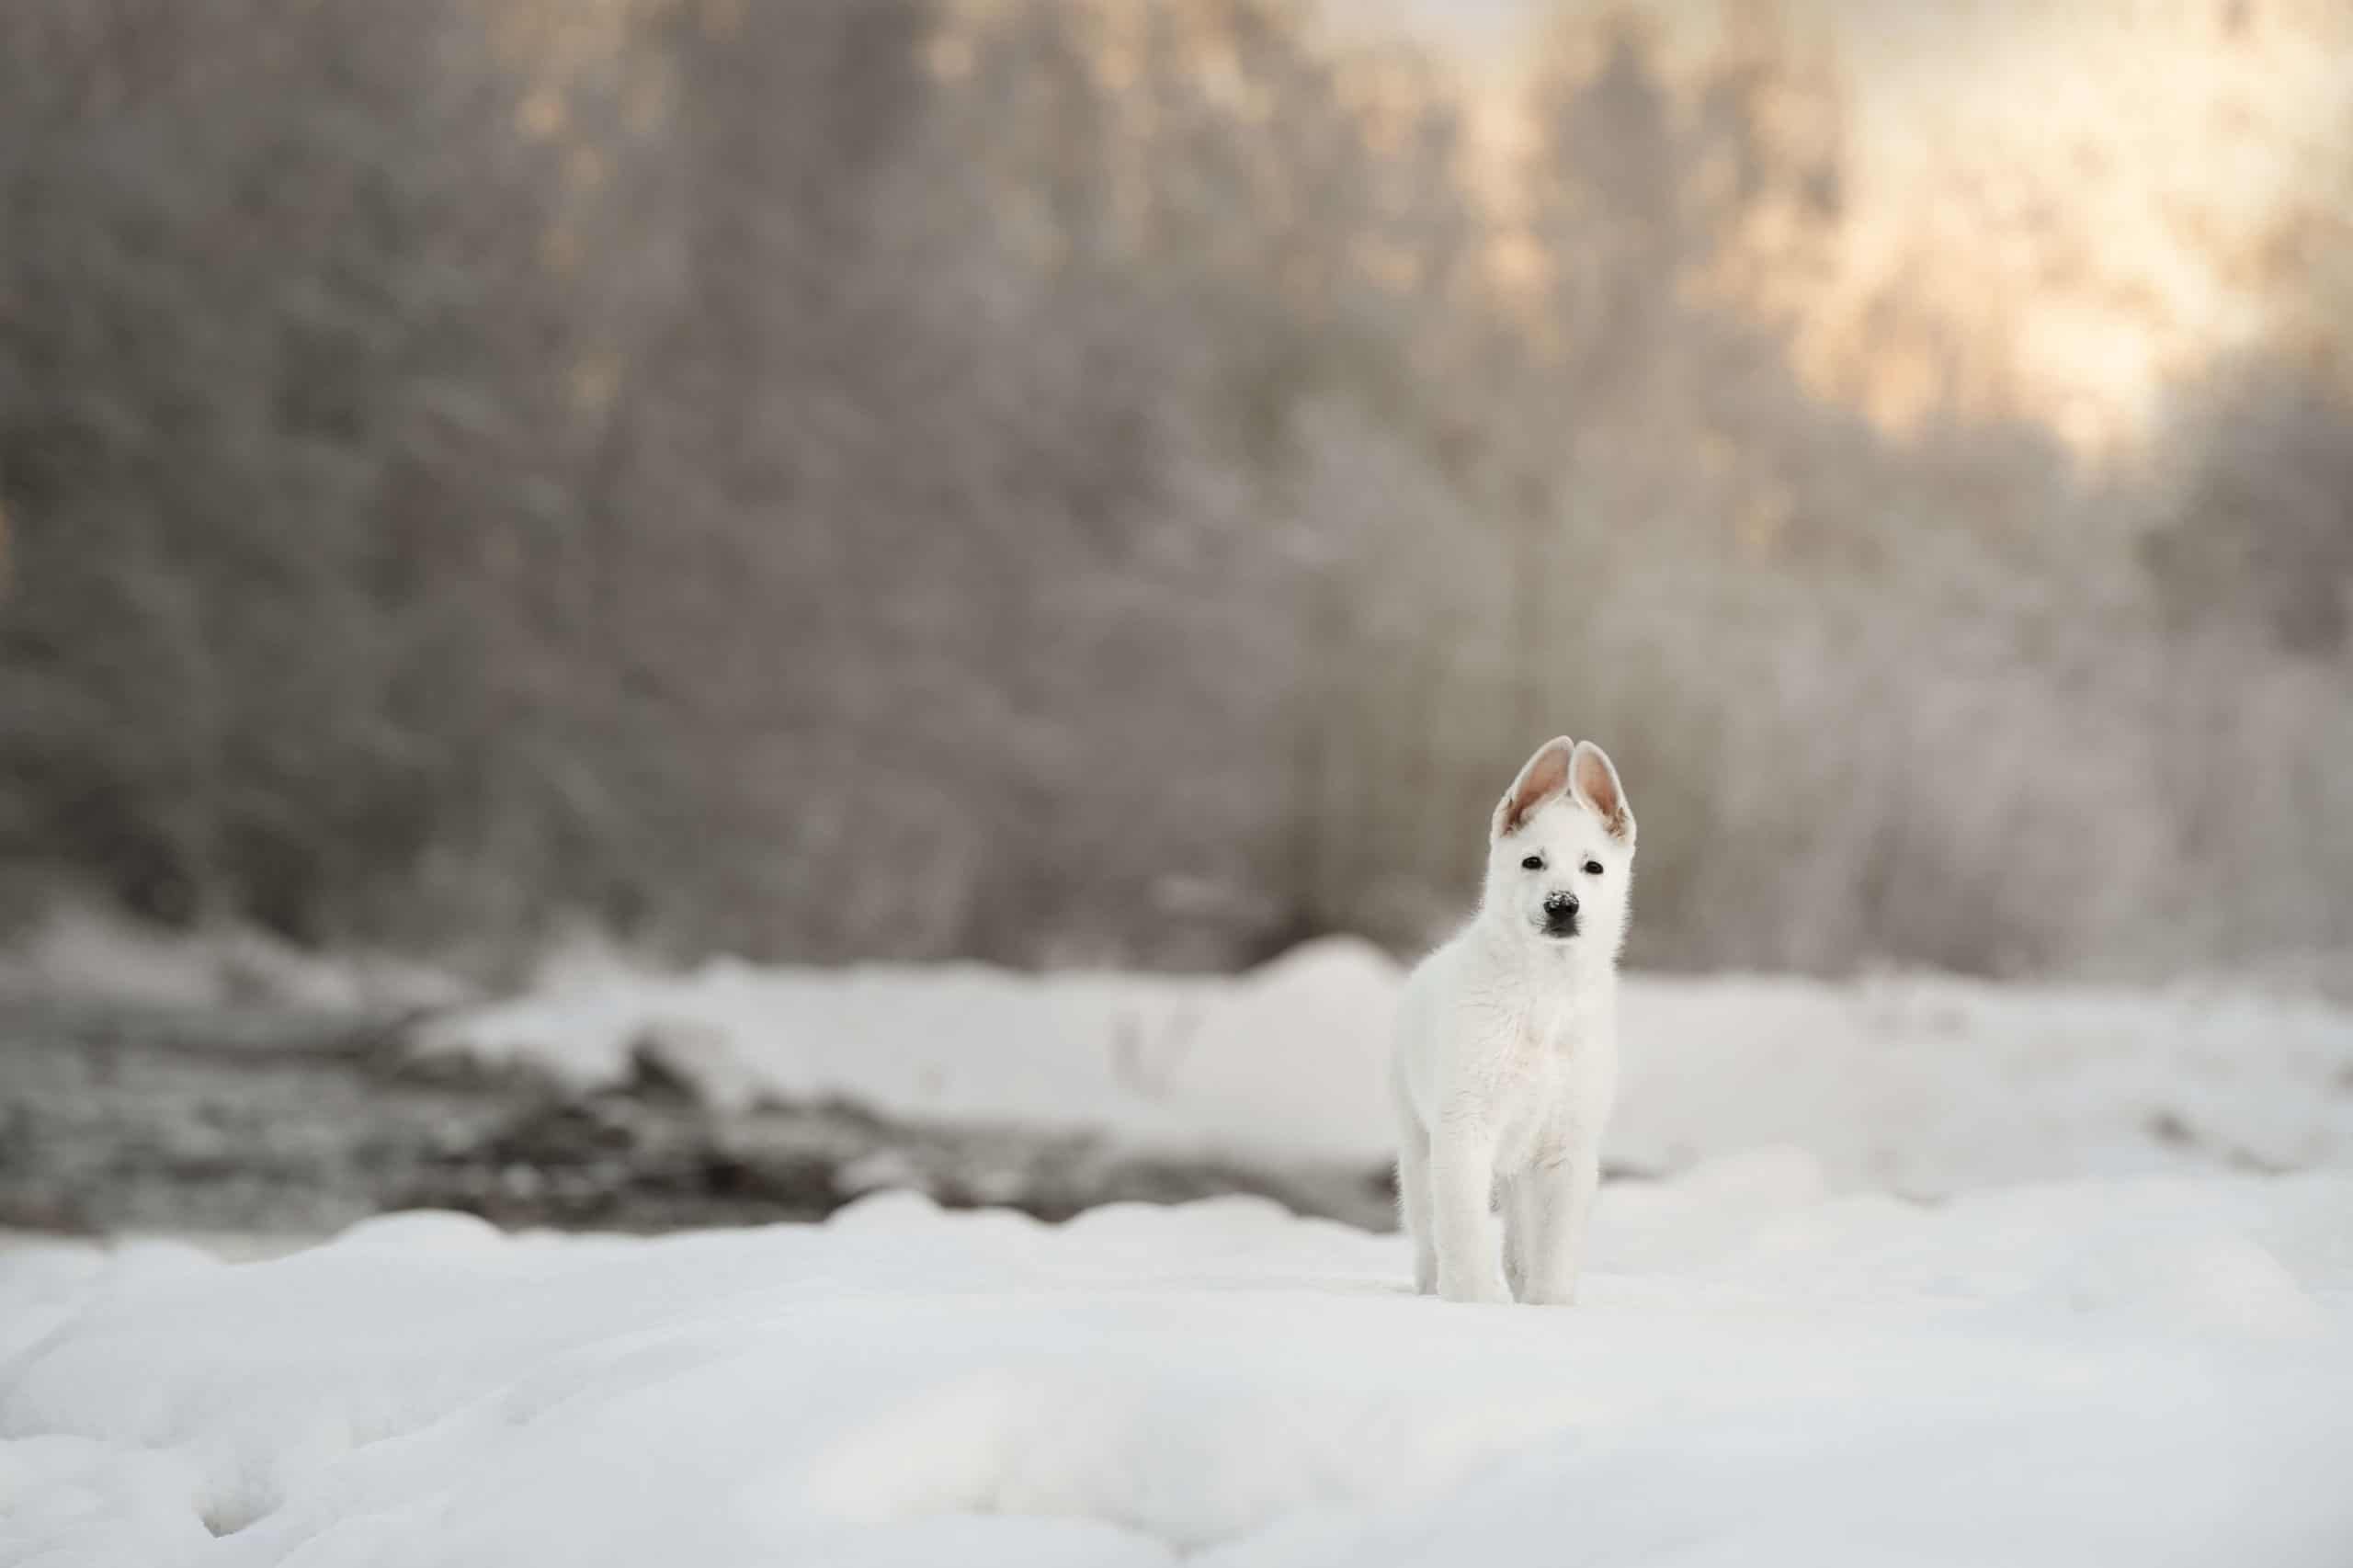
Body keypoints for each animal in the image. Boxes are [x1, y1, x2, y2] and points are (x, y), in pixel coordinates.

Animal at [1383, 739, 1628, 1299]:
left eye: (1594, 868)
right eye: (1532, 861)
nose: (1562, 905)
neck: (1546, 997)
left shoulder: (1567, 1149)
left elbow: (1555, 1251)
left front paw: (1548, 1306)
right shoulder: (1464, 1130)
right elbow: (1465, 1230)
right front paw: (1472, 1302)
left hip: (1519, 1171)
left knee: (1519, 1247)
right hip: (1418, 1145)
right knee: (1429, 1237)